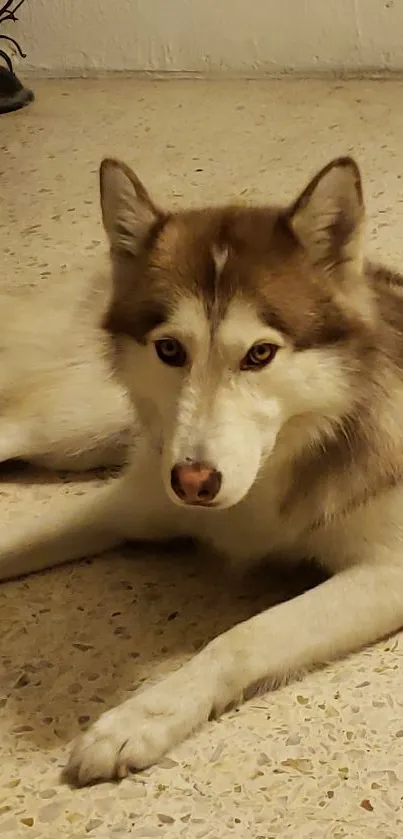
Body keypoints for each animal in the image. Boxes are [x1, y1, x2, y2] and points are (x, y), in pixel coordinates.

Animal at [2, 156, 403, 788]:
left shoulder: (388, 570)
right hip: (70, 428)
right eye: (170, 350)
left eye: (260, 354)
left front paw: (142, 717)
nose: (193, 483)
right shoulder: (138, 496)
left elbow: (243, 636)